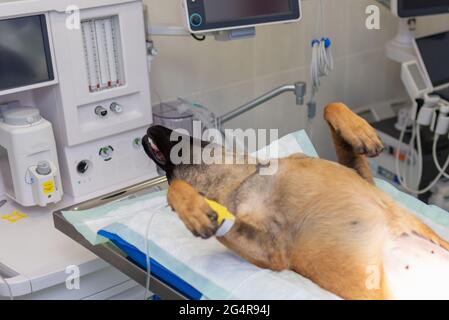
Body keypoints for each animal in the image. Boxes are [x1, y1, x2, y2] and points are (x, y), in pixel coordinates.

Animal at [142, 103, 448, 300]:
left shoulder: (362, 178)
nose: (150, 126)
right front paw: (194, 210)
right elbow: (179, 192)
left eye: (178, 134)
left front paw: (362, 131)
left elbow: (331, 106)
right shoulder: (272, 252)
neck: (250, 174)